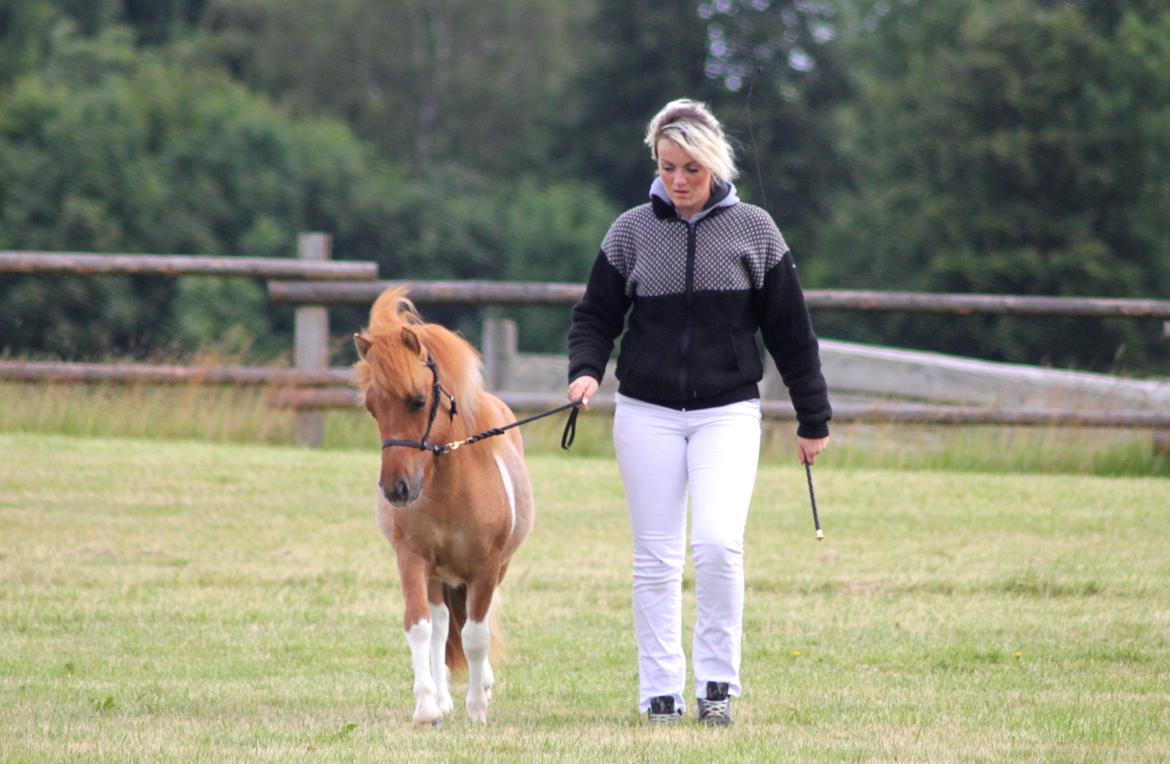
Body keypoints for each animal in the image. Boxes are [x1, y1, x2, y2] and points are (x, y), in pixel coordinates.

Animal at [351, 285, 535, 720]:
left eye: (418, 401)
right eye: (372, 406)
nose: (396, 489)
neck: (451, 492)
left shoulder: (486, 567)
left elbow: (476, 634)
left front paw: (477, 708)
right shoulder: (412, 559)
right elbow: (420, 627)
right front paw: (427, 707)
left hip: (495, 569)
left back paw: (481, 688)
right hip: (436, 575)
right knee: (440, 622)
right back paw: (443, 697)